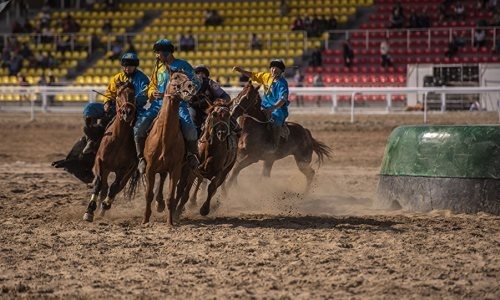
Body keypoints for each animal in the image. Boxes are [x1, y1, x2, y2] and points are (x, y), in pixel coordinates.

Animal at [82, 81, 139, 221]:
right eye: (119, 94)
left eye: (133, 94)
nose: (127, 112)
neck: (117, 139)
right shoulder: (100, 162)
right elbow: (98, 183)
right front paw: (89, 211)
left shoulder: (124, 169)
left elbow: (114, 187)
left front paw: (105, 205)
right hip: (107, 169)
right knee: (103, 187)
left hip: (127, 174)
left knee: (115, 188)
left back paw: (104, 208)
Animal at [141, 70, 197, 225]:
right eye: (176, 77)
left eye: (188, 77)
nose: (191, 86)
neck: (164, 137)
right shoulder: (150, 168)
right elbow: (148, 194)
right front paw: (145, 220)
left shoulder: (175, 169)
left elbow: (170, 197)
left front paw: (170, 222)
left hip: (184, 168)